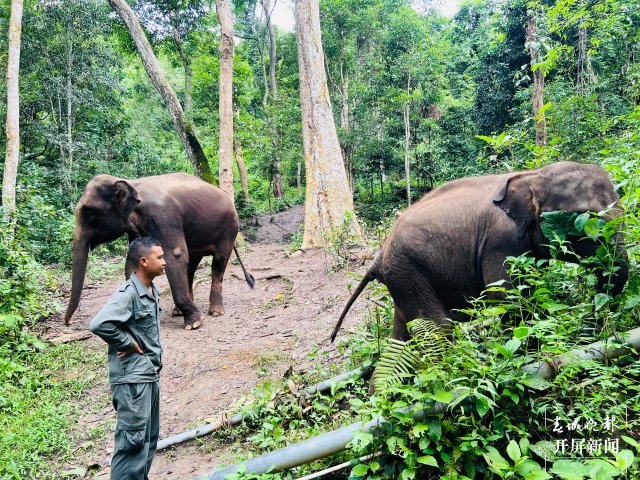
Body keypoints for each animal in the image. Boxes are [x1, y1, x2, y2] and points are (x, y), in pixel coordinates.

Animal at [64, 172, 255, 330]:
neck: (130, 182)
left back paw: (215, 312)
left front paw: (194, 324)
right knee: (191, 264)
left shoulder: (164, 217)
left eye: (89, 212)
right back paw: (178, 311)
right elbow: (132, 260)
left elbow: (175, 255)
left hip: (229, 229)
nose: (69, 323)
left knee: (218, 262)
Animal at [332, 161, 628, 342]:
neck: (533, 174)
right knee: (438, 328)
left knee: (401, 337)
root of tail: (379, 255)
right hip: (406, 270)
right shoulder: (501, 240)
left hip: (401, 276)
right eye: (580, 218)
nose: (594, 325)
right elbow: (506, 296)